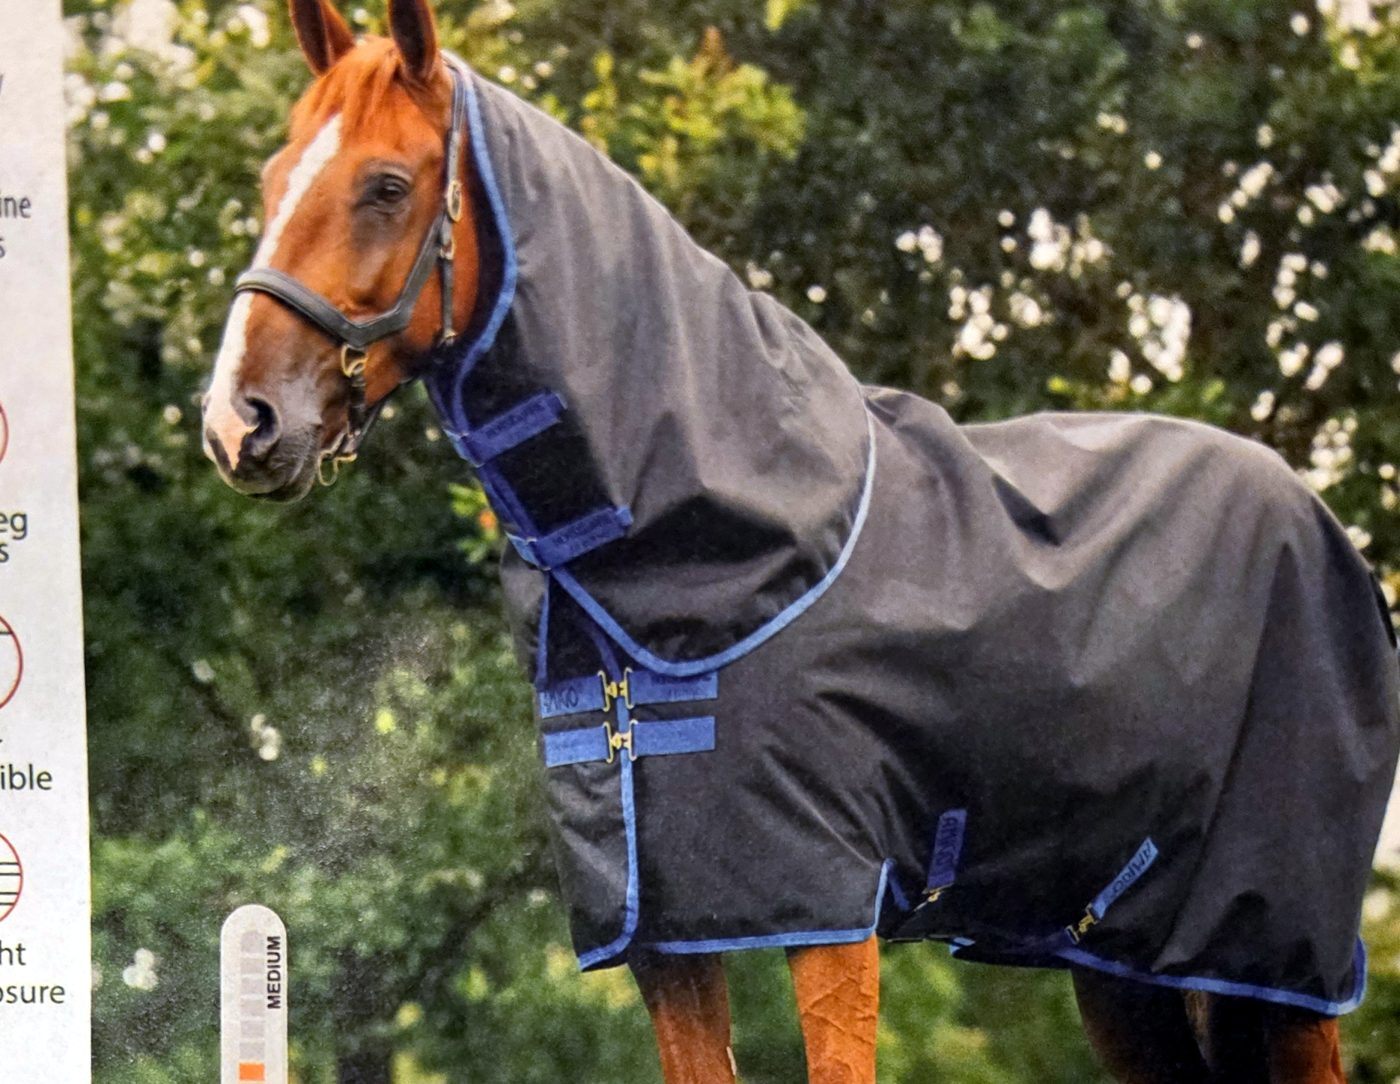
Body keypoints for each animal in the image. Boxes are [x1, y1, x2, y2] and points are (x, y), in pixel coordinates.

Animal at [202, 2, 1399, 1081]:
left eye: (386, 185)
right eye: (271, 181)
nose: (239, 422)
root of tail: (1323, 527)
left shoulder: (828, 911)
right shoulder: (665, 931)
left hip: (1270, 957)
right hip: (1121, 962)